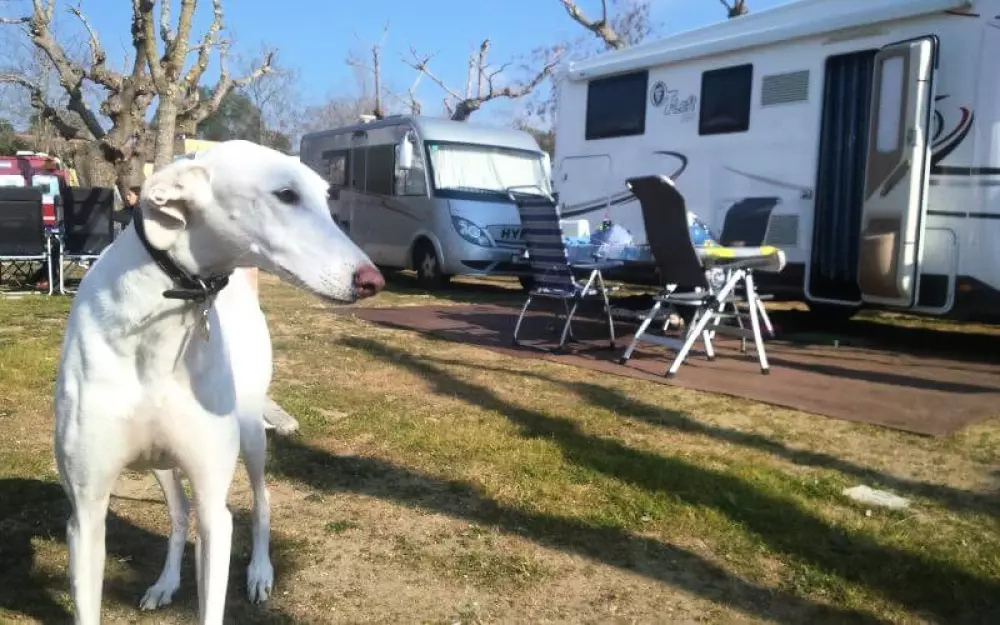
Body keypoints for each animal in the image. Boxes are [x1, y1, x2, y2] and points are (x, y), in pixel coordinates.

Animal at [53, 140, 384, 624]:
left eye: (327, 197)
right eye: (287, 194)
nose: (372, 281)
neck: (158, 333)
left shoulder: (215, 508)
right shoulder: (86, 514)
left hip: (250, 435)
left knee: (261, 502)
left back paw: (261, 573)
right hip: (161, 464)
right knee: (177, 513)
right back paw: (166, 582)